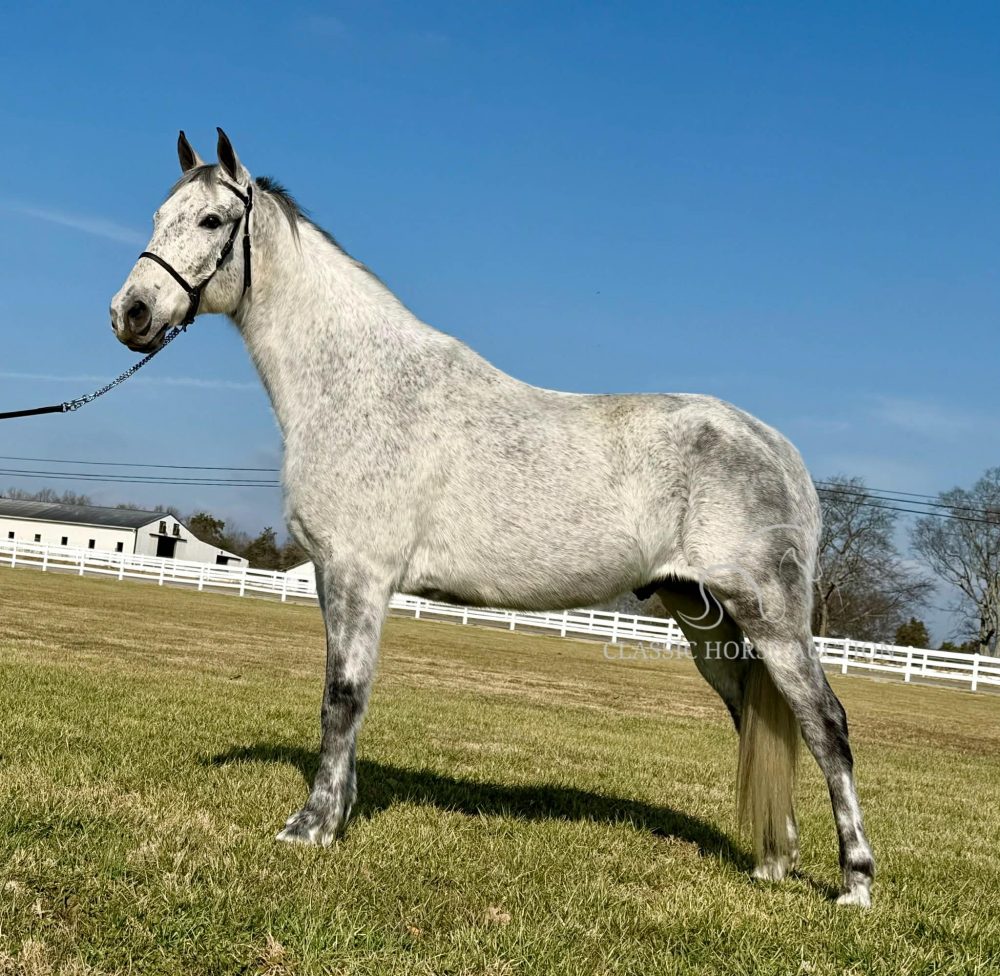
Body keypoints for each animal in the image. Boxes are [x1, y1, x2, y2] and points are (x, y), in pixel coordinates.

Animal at [110, 129, 874, 907]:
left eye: (211, 221)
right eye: (157, 216)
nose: (130, 313)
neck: (358, 383)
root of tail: (780, 449)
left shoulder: (359, 575)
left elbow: (342, 697)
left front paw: (311, 827)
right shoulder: (332, 578)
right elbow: (345, 698)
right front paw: (340, 809)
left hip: (769, 615)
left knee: (825, 724)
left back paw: (855, 883)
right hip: (704, 619)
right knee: (757, 715)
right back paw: (772, 861)